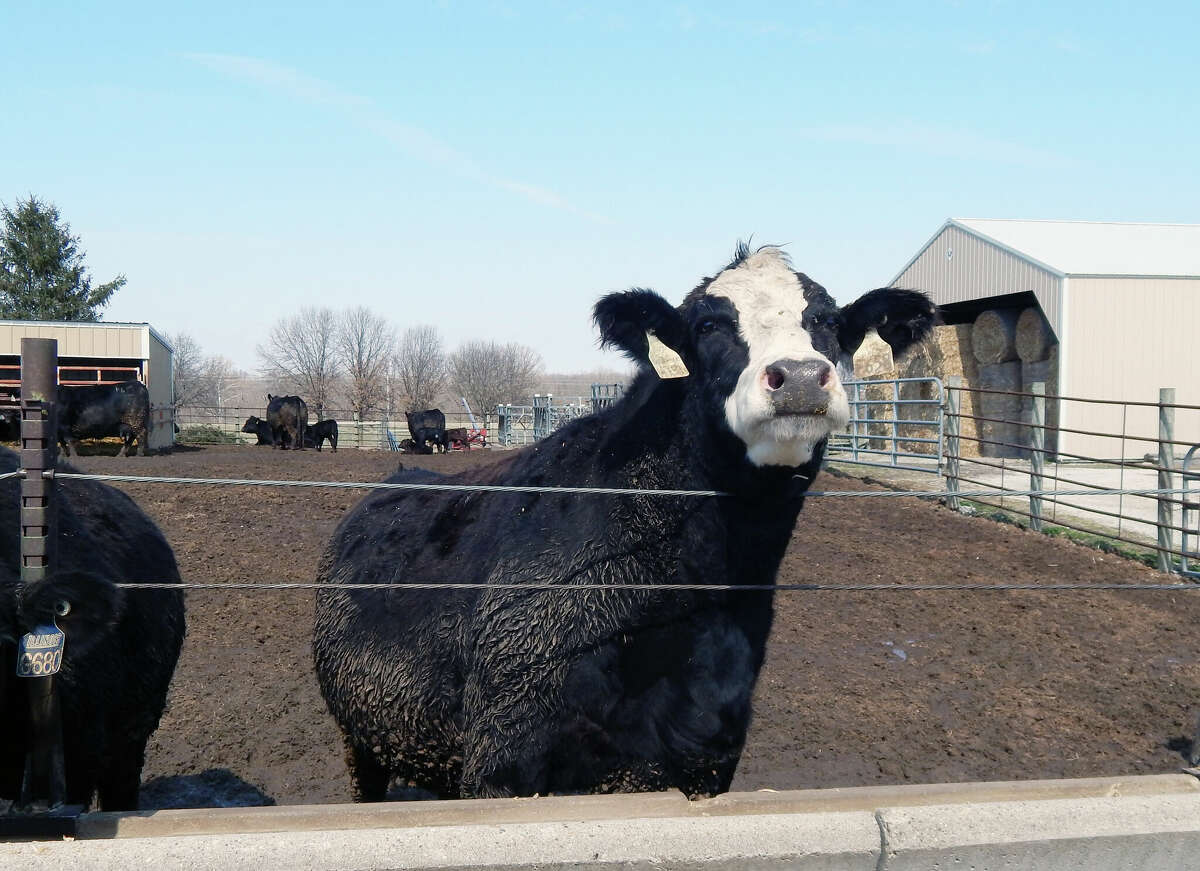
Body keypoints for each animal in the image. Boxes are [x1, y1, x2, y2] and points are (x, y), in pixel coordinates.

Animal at [312, 245, 936, 806]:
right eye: (708, 324)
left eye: (828, 322)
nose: (802, 377)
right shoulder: (502, 756)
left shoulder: (705, 759)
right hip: (358, 737)